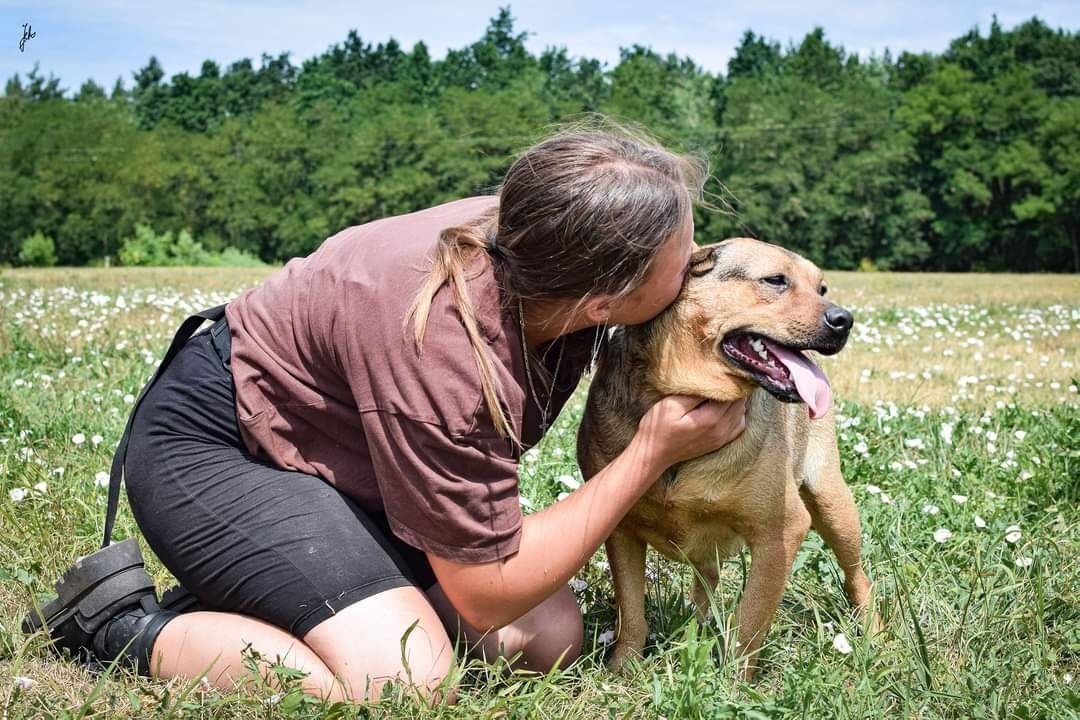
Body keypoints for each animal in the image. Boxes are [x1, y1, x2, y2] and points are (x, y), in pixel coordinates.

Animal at [578, 239, 872, 677]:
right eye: (775, 280)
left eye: (821, 288)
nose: (845, 319)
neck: (686, 393)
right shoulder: (619, 527)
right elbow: (631, 610)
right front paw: (623, 668)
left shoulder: (780, 533)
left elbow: (751, 622)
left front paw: (733, 682)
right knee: (707, 580)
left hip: (832, 504)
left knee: (857, 577)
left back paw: (874, 633)